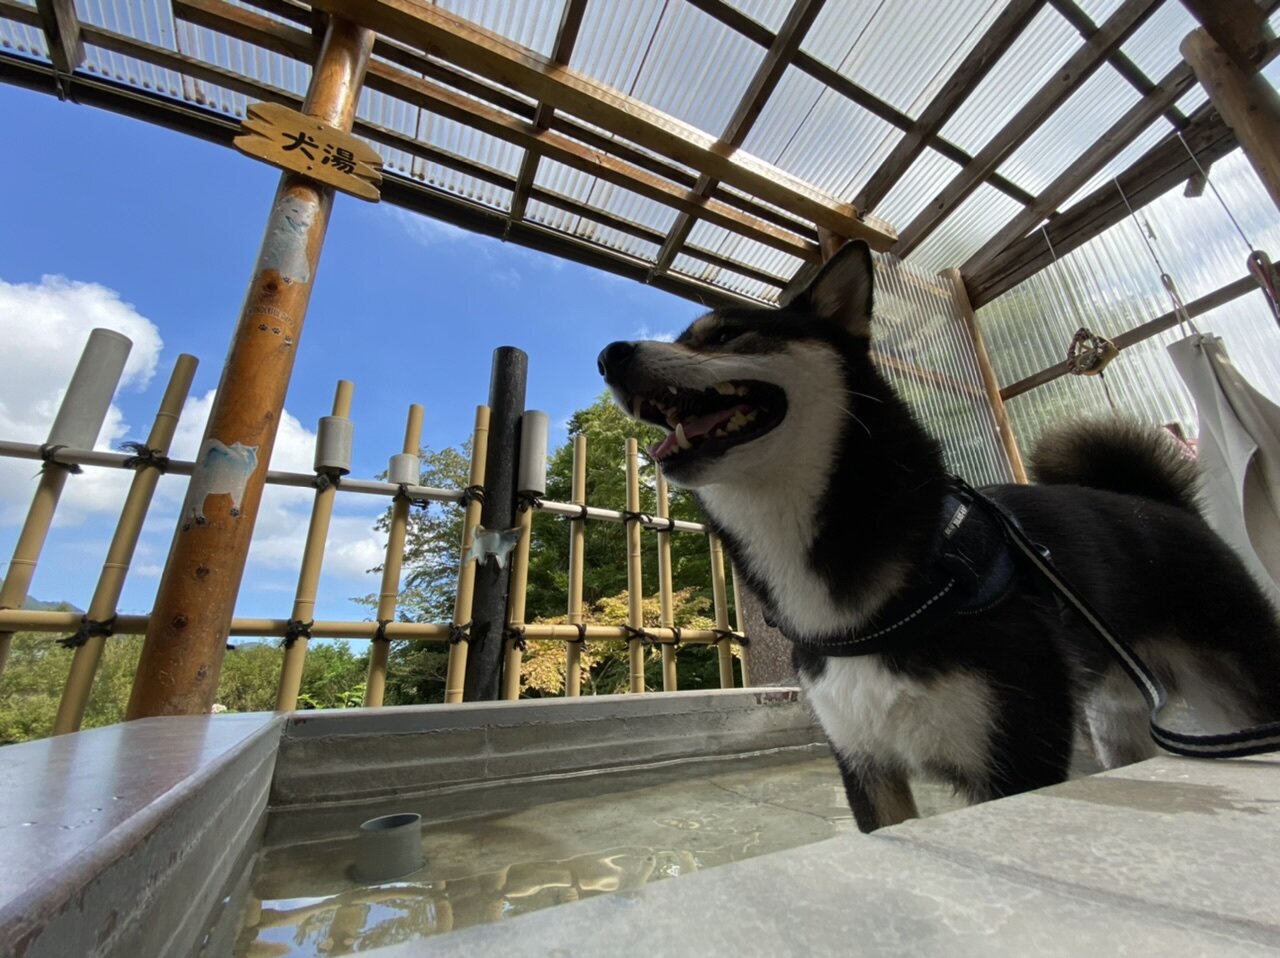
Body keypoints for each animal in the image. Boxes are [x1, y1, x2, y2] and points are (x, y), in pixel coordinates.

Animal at [599, 238, 1280, 829]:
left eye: (724, 334)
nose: (609, 356)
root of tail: (1161, 505)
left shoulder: (1014, 761)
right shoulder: (865, 767)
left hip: (1242, 685)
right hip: (1117, 718)